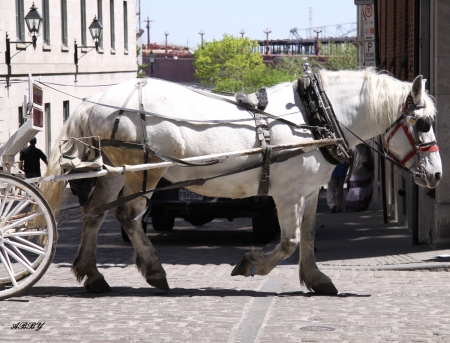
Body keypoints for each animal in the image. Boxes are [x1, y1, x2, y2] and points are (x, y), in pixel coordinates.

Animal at [40, 70, 442, 296]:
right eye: (423, 123)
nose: (438, 174)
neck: (314, 117)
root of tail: (97, 99)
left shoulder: (309, 191)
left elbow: (308, 238)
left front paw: (316, 279)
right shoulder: (285, 193)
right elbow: (289, 241)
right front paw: (251, 264)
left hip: (114, 171)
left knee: (94, 214)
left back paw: (92, 274)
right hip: (144, 170)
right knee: (128, 216)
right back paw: (154, 270)